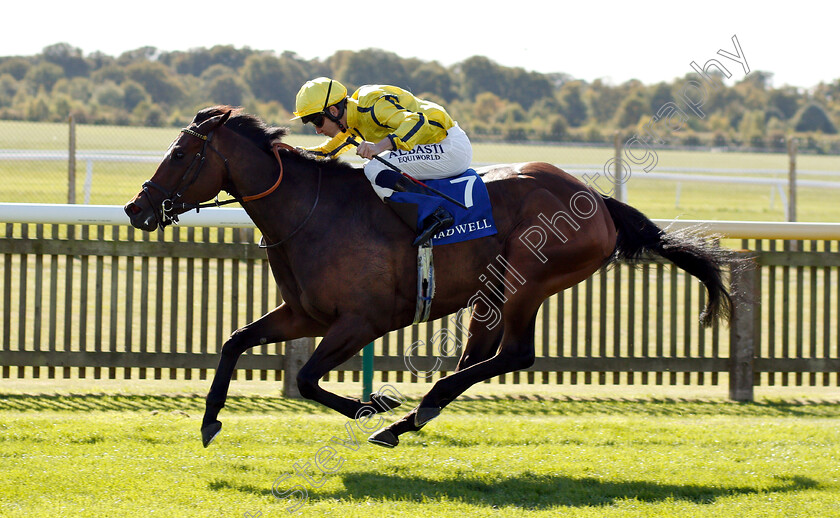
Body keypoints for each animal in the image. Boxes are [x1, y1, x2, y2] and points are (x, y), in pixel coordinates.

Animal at [121, 106, 732, 450]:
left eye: (180, 153)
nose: (135, 208)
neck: (313, 211)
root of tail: (598, 201)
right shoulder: (304, 314)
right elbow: (234, 341)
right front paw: (208, 422)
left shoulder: (361, 322)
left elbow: (309, 380)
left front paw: (372, 406)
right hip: (492, 292)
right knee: (478, 357)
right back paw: (415, 416)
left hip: (527, 279)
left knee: (514, 355)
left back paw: (402, 418)